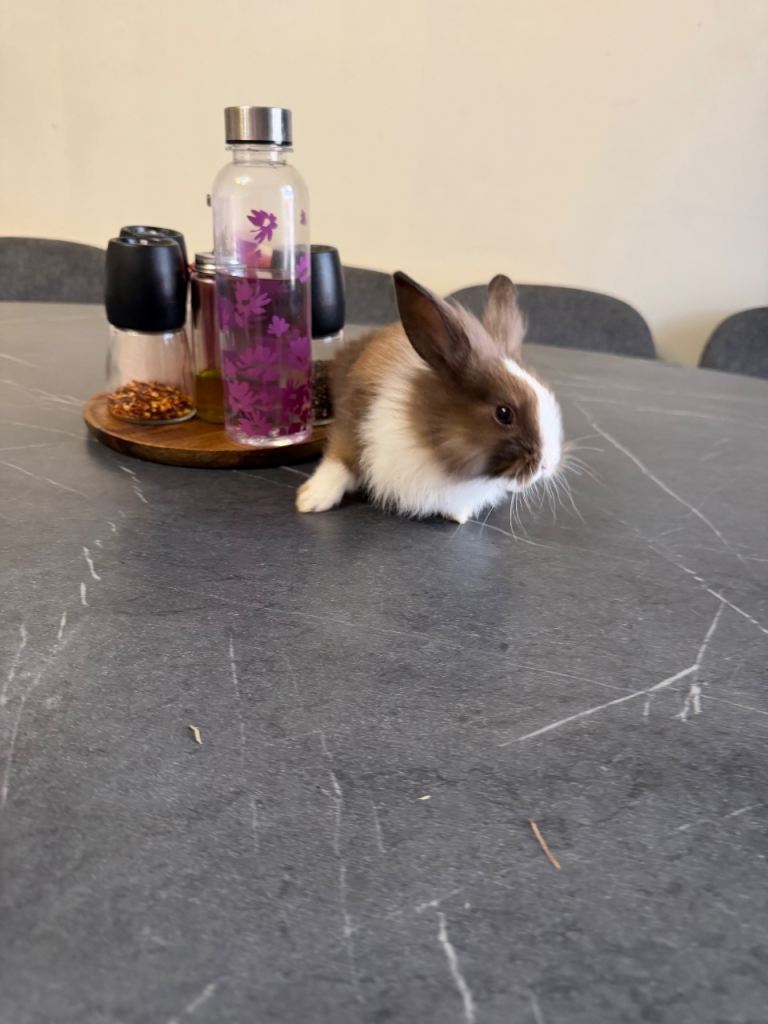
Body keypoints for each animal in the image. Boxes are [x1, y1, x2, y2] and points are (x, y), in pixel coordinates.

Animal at [296, 271, 563, 523]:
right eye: (504, 413)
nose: (548, 464)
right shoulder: (353, 422)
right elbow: (339, 462)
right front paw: (310, 499)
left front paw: (458, 516)